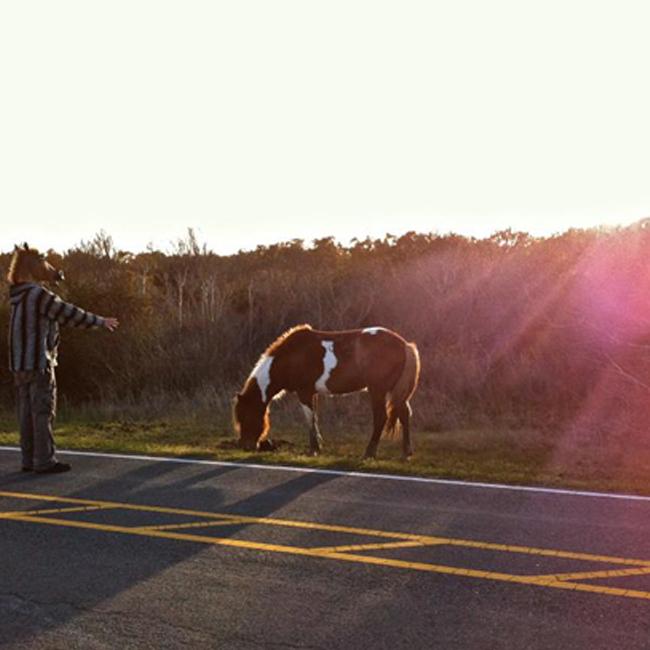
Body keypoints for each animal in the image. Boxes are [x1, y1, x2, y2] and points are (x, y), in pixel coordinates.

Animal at [233, 322, 420, 456]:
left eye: (246, 415)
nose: (245, 446)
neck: (292, 357)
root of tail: (405, 345)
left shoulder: (304, 392)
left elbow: (310, 419)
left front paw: (313, 449)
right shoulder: (312, 393)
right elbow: (314, 418)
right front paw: (317, 446)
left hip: (378, 391)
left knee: (381, 417)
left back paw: (369, 453)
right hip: (394, 392)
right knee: (404, 413)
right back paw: (406, 452)